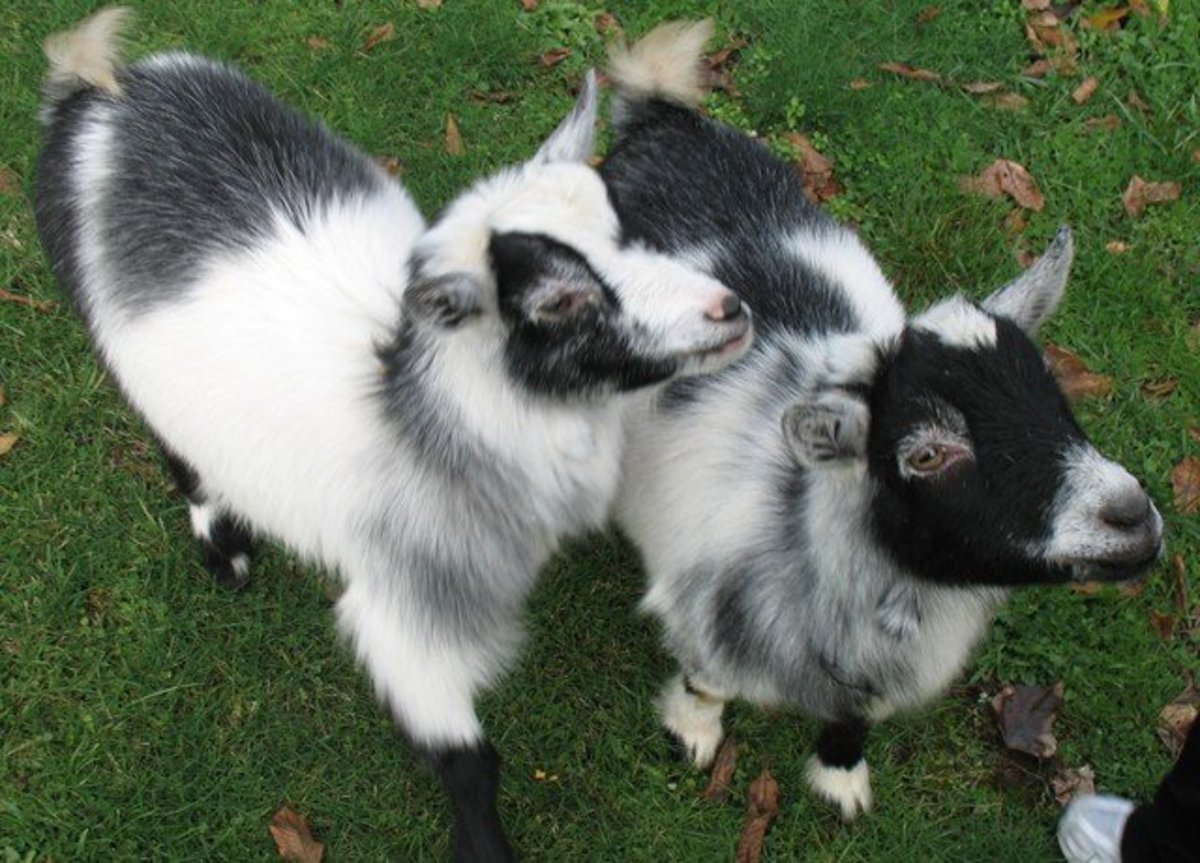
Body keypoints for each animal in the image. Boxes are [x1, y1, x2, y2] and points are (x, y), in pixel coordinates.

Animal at [33, 10, 752, 859]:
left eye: (625, 226)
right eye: (556, 302)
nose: (729, 310)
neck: (417, 405)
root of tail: (101, 88)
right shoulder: (401, 608)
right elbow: (468, 759)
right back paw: (223, 544)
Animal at [601, 20, 1163, 821]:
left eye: (1056, 400)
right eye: (924, 454)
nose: (1132, 517)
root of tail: (660, 118)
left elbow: (852, 719)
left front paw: (840, 779)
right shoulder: (706, 610)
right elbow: (707, 680)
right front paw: (693, 734)